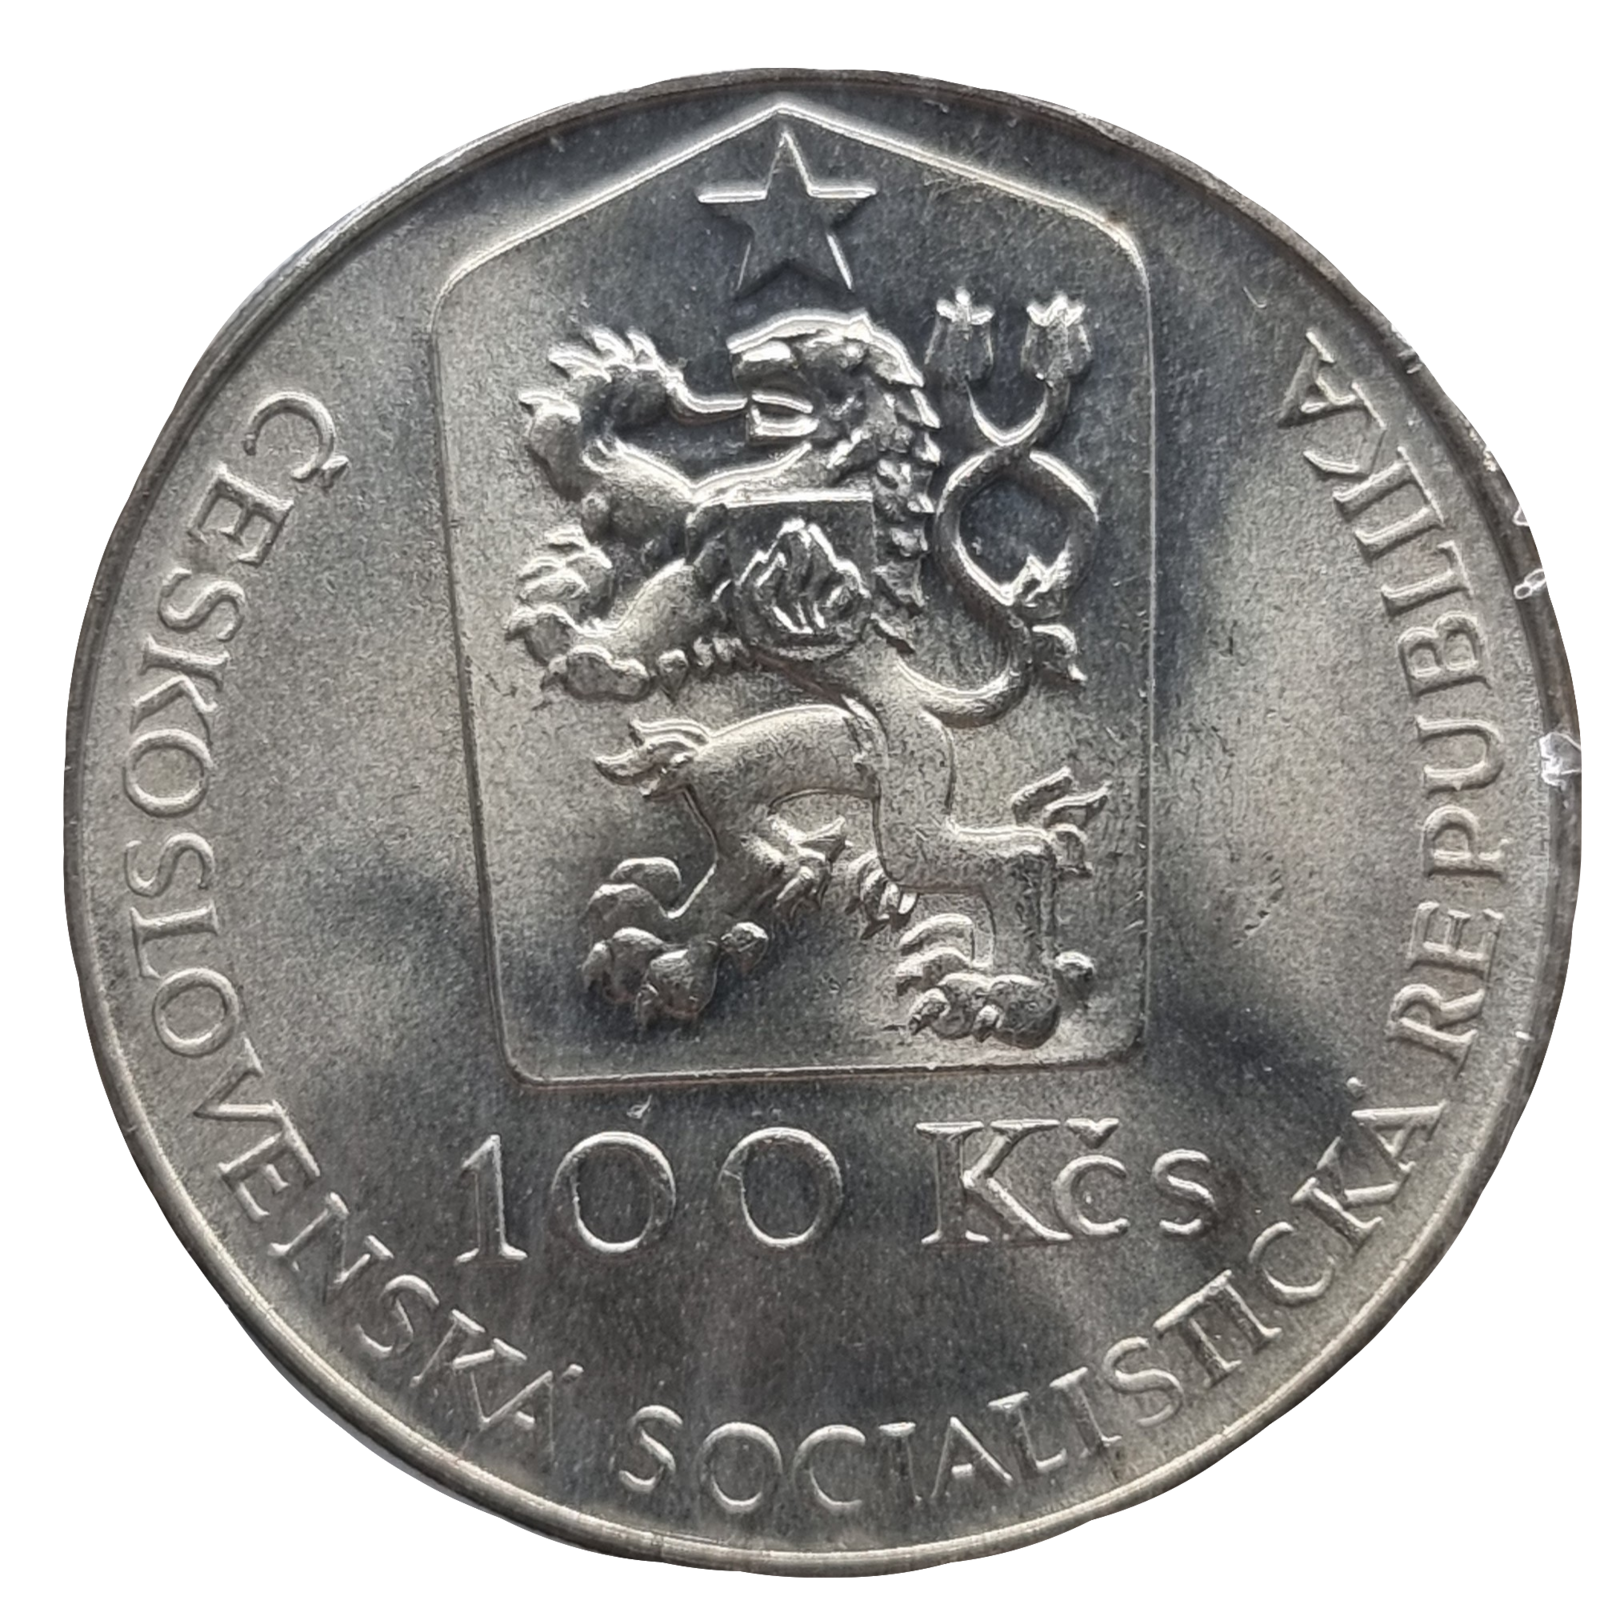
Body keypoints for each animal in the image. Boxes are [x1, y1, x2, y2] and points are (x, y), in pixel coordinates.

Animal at [506, 303, 1107, 1047]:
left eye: (799, 341)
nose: (734, 357)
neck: (830, 464)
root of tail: (930, 700)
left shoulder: (709, 556)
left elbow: (655, 602)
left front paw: (583, 643)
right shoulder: (710, 520)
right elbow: (645, 507)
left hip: (909, 797)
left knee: (1018, 856)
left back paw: (1003, 993)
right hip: (783, 759)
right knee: (761, 843)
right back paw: (665, 934)